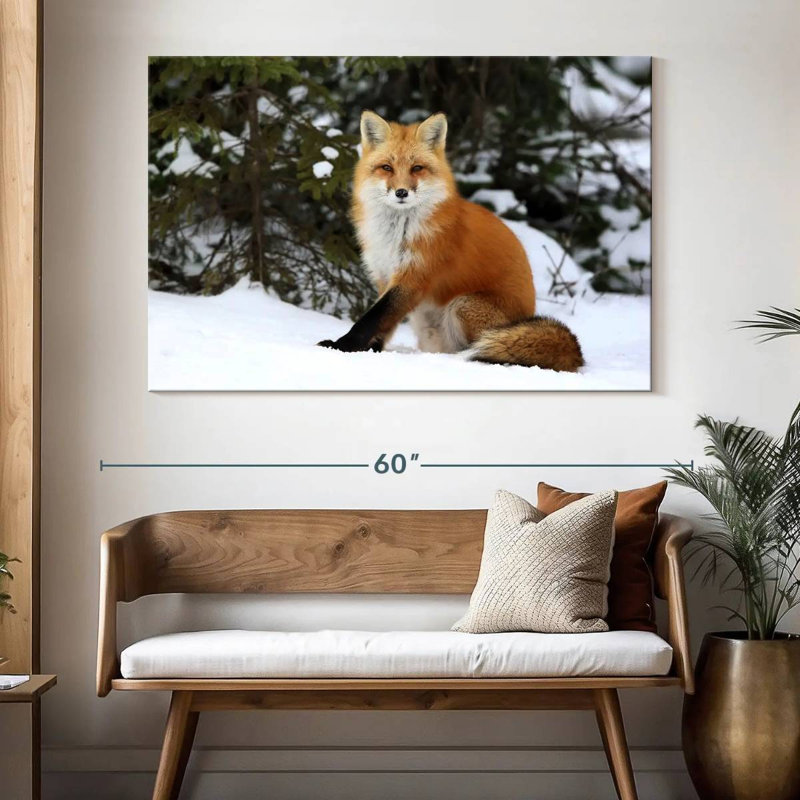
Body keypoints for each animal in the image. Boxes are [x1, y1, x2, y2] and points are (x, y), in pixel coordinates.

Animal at [317, 110, 584, 372]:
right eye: (387, 167)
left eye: (417, 168)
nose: (401, 192)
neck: (397, 233)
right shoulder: (385, 275)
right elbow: (384, 321)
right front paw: (370, 351)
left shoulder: (415, 276)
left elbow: (371, 319)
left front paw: (341, 346)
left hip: (462, 305)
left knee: (481, 348)